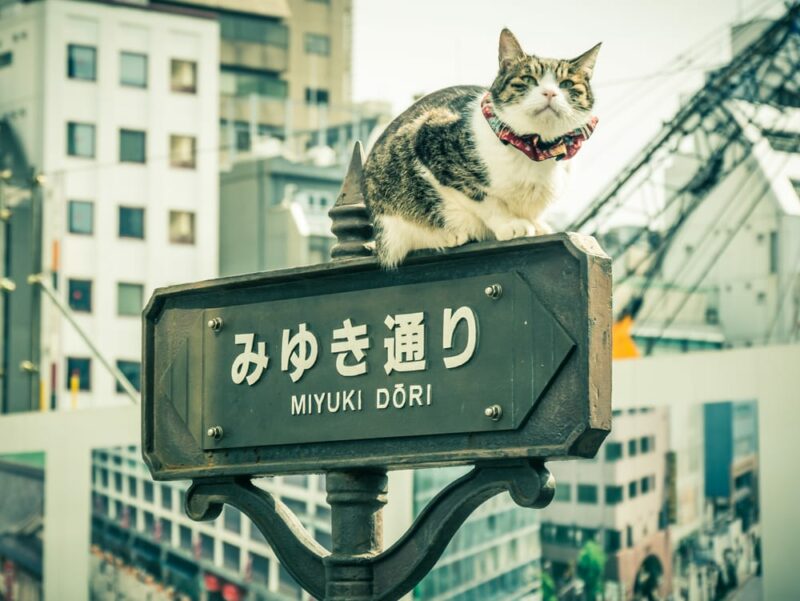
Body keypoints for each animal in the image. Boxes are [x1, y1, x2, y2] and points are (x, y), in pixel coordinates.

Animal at [362, 28, 600, 268]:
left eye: (566, 84)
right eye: (528, 79)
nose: (550, 93)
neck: (536, 148)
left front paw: (537, 224)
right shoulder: (428, 139)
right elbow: (482, 198)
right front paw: (510, 224)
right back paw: (449, 235)